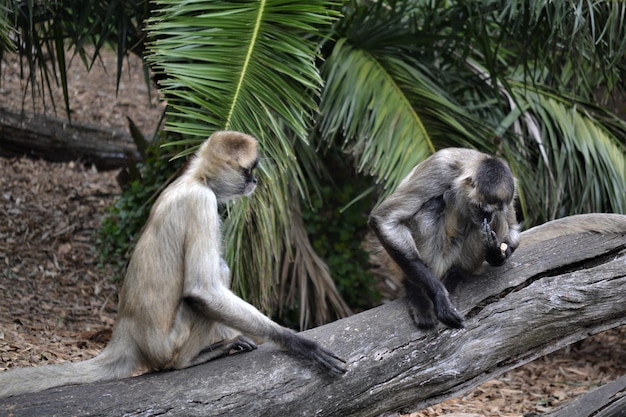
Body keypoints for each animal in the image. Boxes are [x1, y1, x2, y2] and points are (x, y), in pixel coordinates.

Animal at [0, 130, 344, 396]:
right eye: (249, 170)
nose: (255, 180)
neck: (194, 179)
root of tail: (126, 334)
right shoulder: (203, 202)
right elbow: (202, 290)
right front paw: (296, 342)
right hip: (169, 344)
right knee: (205, 288)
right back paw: (191, 359)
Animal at [368, 149, 520, 328]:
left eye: (492, 210)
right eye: (480, 207)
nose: (487, 217)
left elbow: (513, 231)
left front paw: (496, 255)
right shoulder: (441, 168)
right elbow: (384, 221)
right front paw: (439, 296)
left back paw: (458, 273)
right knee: (434, 205)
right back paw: (415, 289)